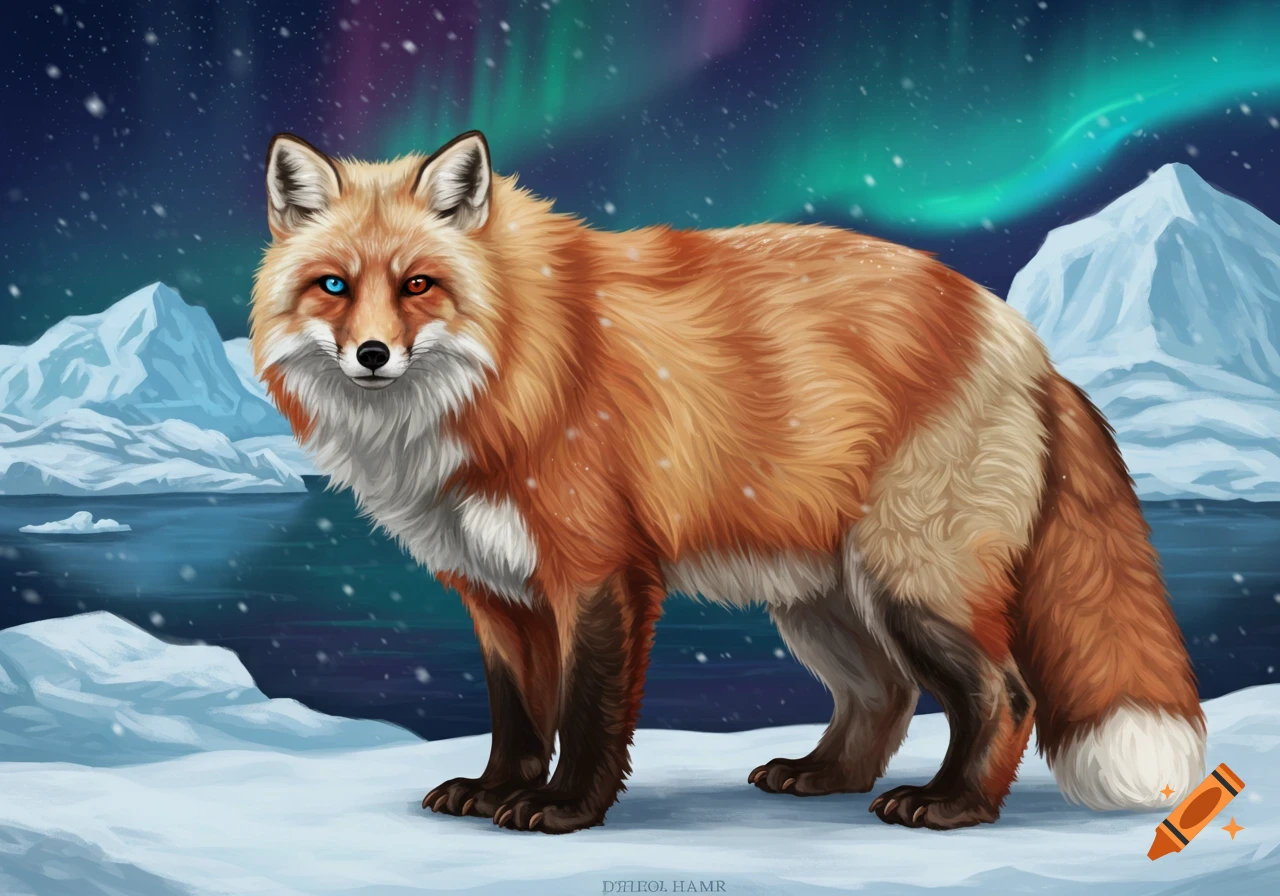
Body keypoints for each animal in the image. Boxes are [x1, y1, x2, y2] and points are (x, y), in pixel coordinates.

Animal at [249, 130, 1206, 834]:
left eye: (419, 284)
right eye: (334, 286)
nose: (373, 355)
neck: (516, 363)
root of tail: (1023, 338)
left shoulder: (599, 569)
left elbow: (587, 711)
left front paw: (564, 808)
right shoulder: (496, 590)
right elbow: (517, 716)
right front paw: (493, 791)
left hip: (912, 583)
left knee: (1004, 694)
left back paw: (953, 804)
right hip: (821, 601)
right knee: (884, 694)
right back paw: (824, 774)